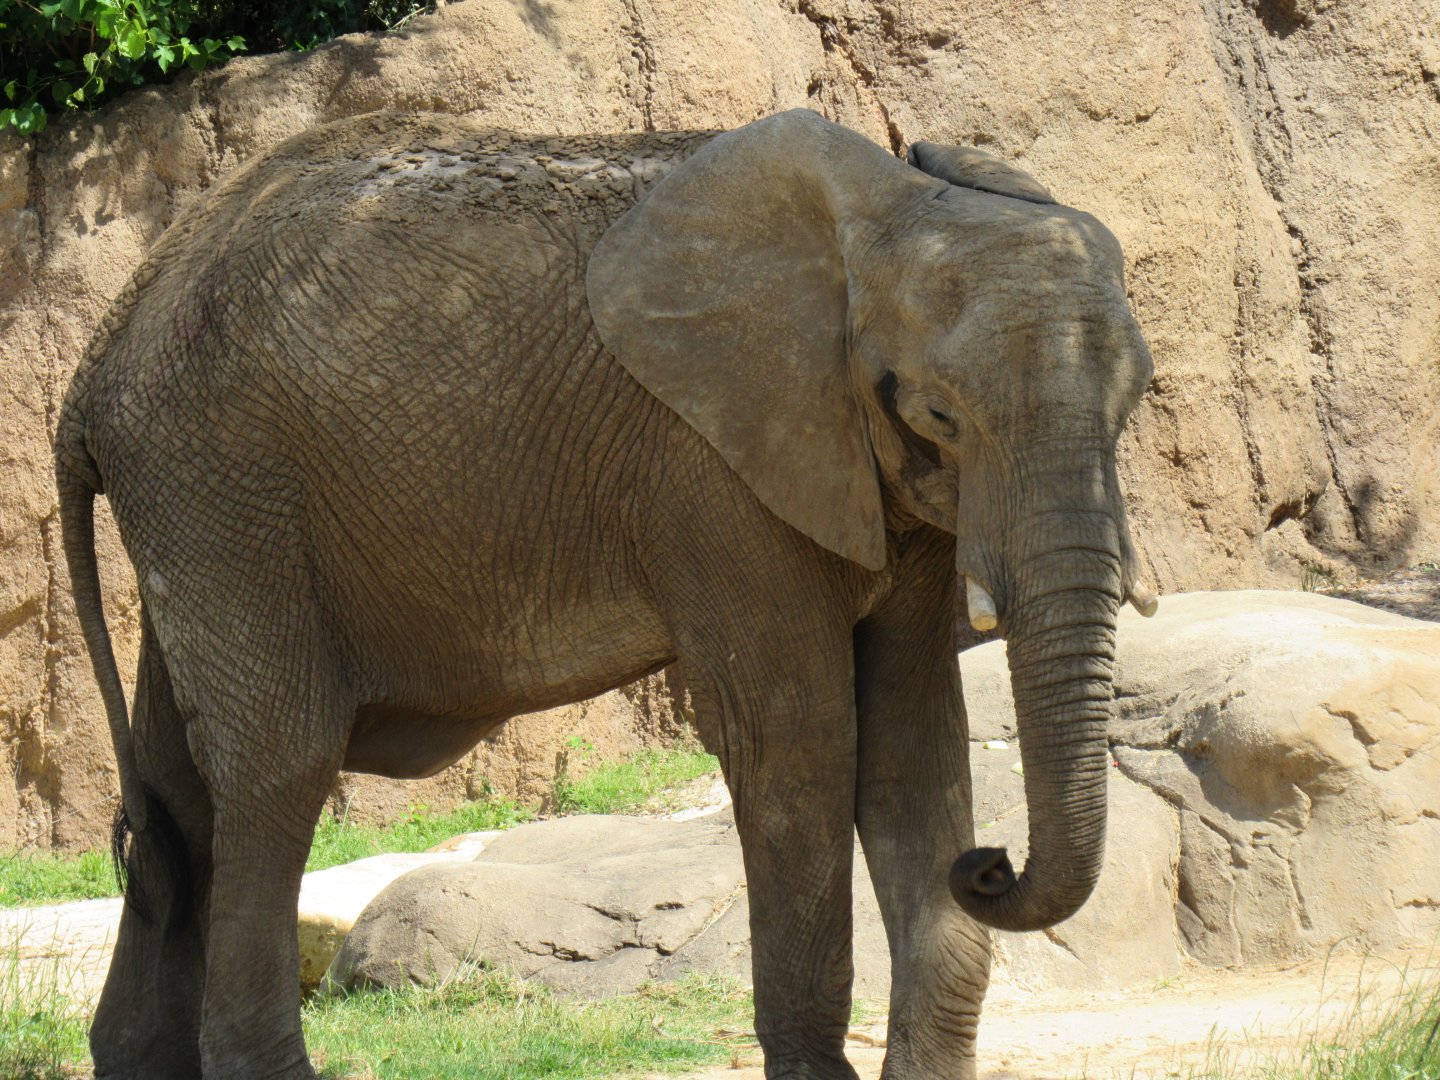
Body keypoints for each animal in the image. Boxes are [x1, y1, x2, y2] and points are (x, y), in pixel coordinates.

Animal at [56, 108, 1157, 1079]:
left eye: (1135, 400)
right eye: (937, 414)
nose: (990, 867)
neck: (883, 207)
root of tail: (100, 356)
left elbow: (909, 740)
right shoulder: (711, 467)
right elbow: (797, 742)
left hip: (203, 511)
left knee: (179, 793)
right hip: (222, 484)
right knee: (276, 772)